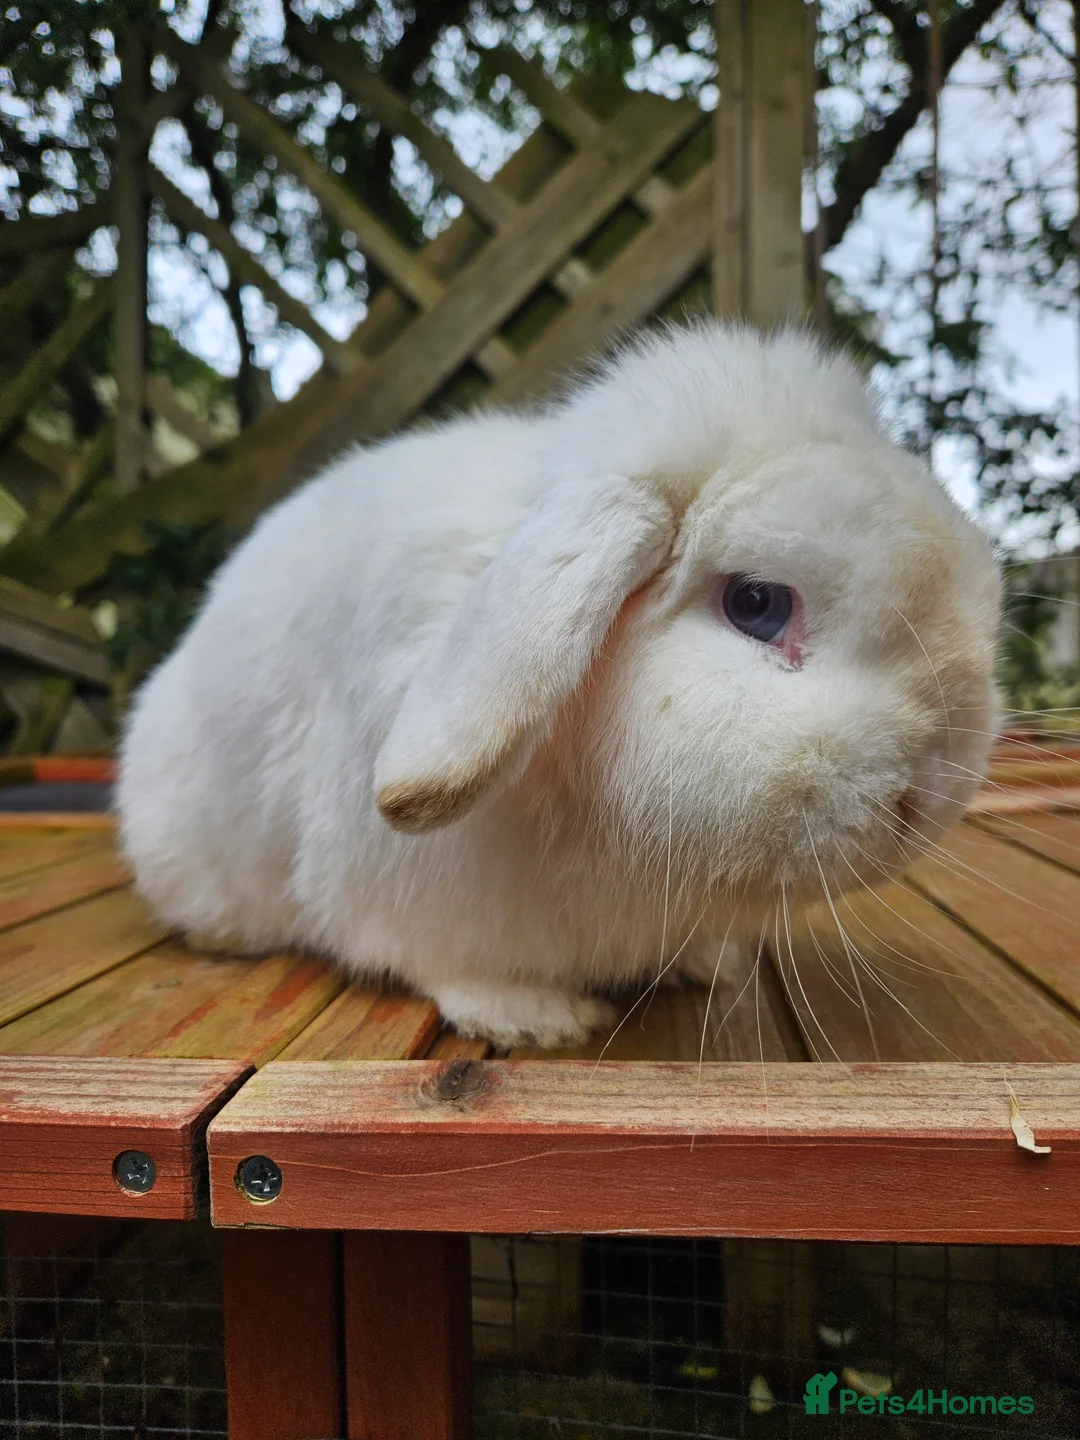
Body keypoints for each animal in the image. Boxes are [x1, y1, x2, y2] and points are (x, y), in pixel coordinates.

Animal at [117, 321, 1002, 1048]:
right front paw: (534, 1020)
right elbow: (434, 958)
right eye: (757, 603)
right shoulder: (401, 893)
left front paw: (710, 963)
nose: (922, 798)